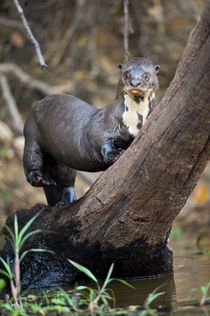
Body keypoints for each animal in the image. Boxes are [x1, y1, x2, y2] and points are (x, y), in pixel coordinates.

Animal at [23, 58, 159, 206]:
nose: (135, 83)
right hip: (31, 132)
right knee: (31, 160)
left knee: (67, 178)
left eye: (145, 75)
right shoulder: (101, 126)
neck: (134, 122)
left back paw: (67, 200)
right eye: (126, 74)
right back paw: (40, 178)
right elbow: (101, 140)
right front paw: (115, 153)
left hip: (61, 158)